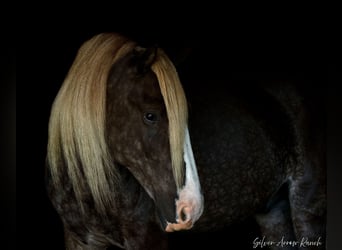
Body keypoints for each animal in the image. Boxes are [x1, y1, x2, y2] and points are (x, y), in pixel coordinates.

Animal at [46, 32, 326, 249]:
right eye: (150, 115)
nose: (190, 207)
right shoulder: (80, 240)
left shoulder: (148, 239)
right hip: (273, 212)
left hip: (307, 205)